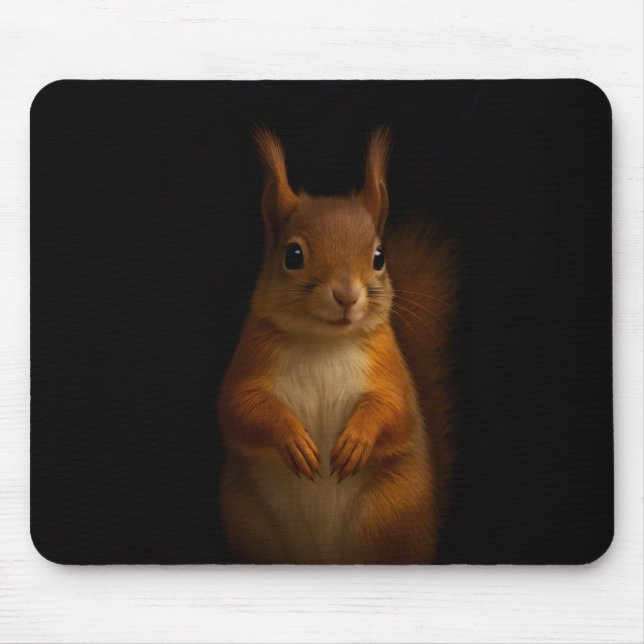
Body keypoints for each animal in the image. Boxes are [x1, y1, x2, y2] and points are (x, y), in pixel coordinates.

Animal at [218, 125, 458, 564]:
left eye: (379, 256)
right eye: (293, 255)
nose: (346, 295)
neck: (323, 341)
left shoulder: (389, 366)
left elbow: (396, 410)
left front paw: (357, 441)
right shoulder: (252, 356)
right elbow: (240, 407)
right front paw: (292, 439)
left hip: (385, 517)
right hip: (253, 526)